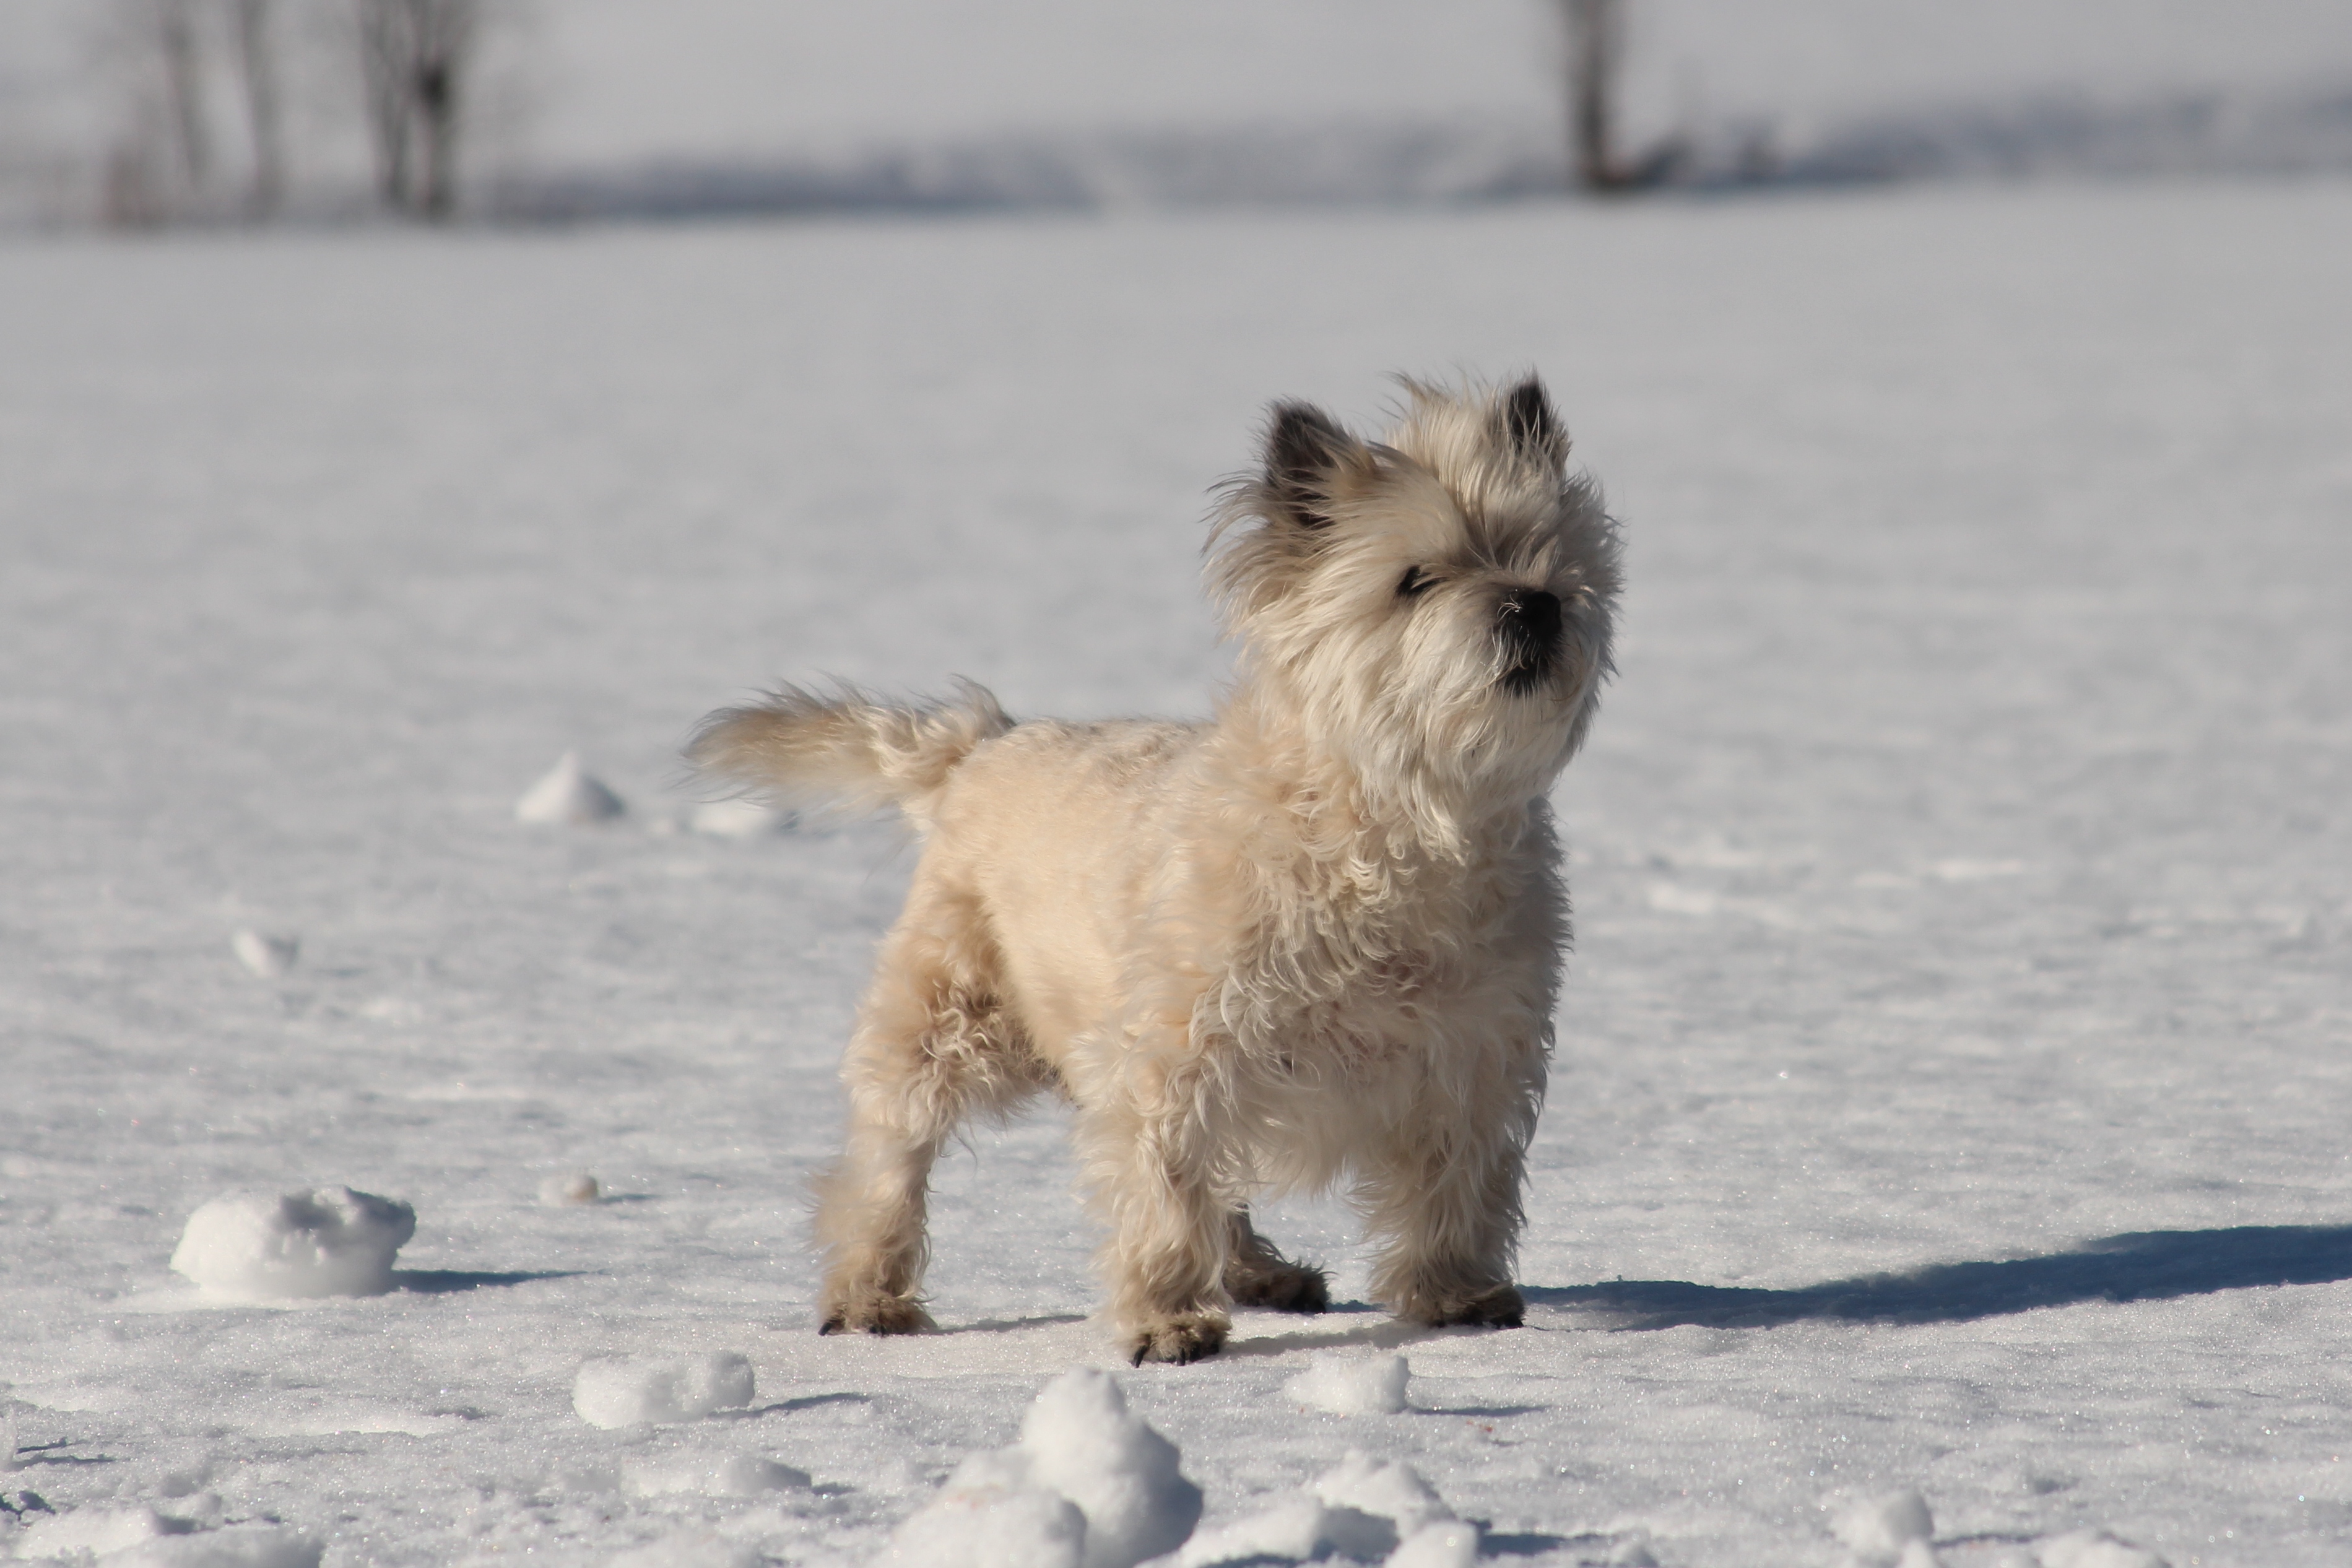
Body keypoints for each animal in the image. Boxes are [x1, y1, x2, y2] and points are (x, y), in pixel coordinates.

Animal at [689, 376, 1620, 1364]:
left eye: (1540, 554)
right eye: (1414, 578)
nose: (1534, 606)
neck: (1397, 824)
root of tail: (983, 745)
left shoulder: (1475, 1055)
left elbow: (1457, 1184)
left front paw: (1455, 1294)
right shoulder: (1178, 1048)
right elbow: (1166, 1182)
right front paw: (1166, 1319)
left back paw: (1263, 1273)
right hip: (944, 1016)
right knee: (885, 1162)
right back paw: (869, 1294)